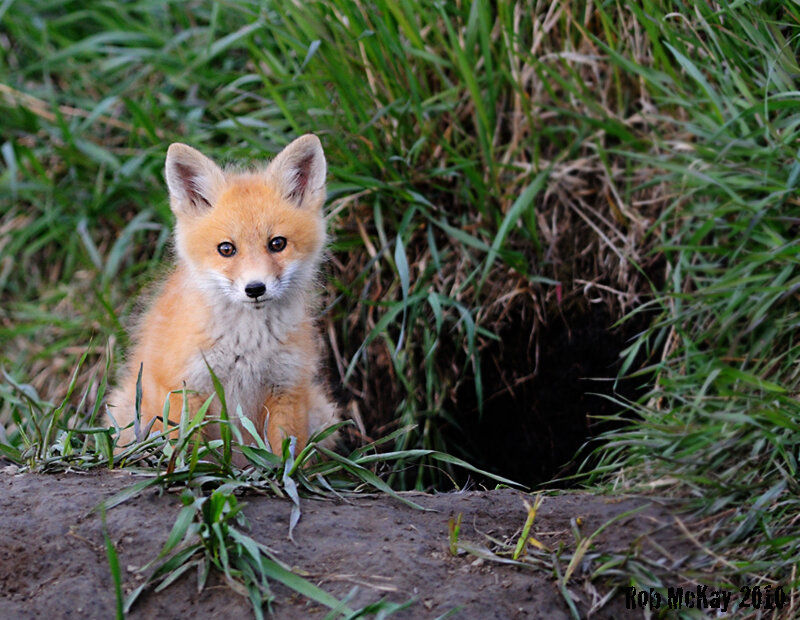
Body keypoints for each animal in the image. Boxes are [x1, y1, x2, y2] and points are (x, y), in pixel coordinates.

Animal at [106, 134, 339, 457]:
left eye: (277, 244)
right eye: (226, 249)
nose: (255, 288)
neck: (248, 344)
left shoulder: (287, 386)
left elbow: (285, 453)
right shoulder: (187, 387)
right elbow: (187, 450)